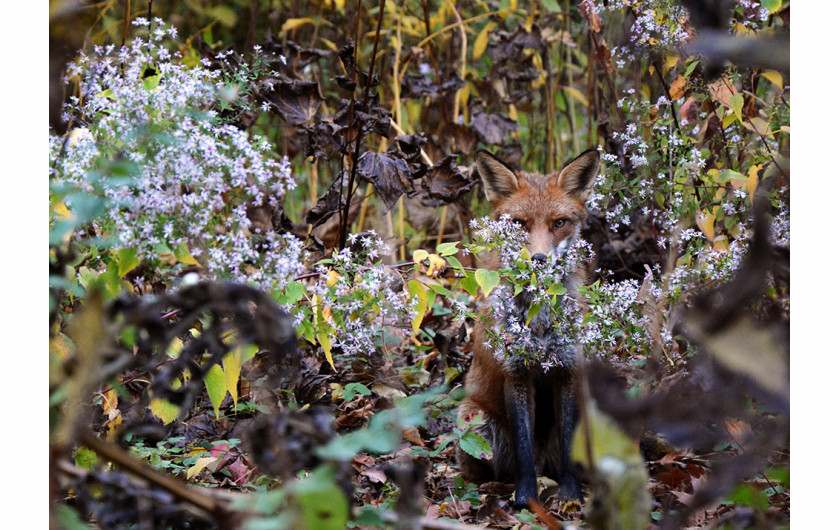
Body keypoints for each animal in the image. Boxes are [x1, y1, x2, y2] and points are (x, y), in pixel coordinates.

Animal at [456, 146, 600, 506]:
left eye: (559, 223)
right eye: (519, 223)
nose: (538, 260)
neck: (539, 322)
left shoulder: (567, 369)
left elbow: (568, 444)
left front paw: (571, 495)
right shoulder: (515, 373)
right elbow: (523, 450)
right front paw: (525, 499)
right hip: (475, 422)